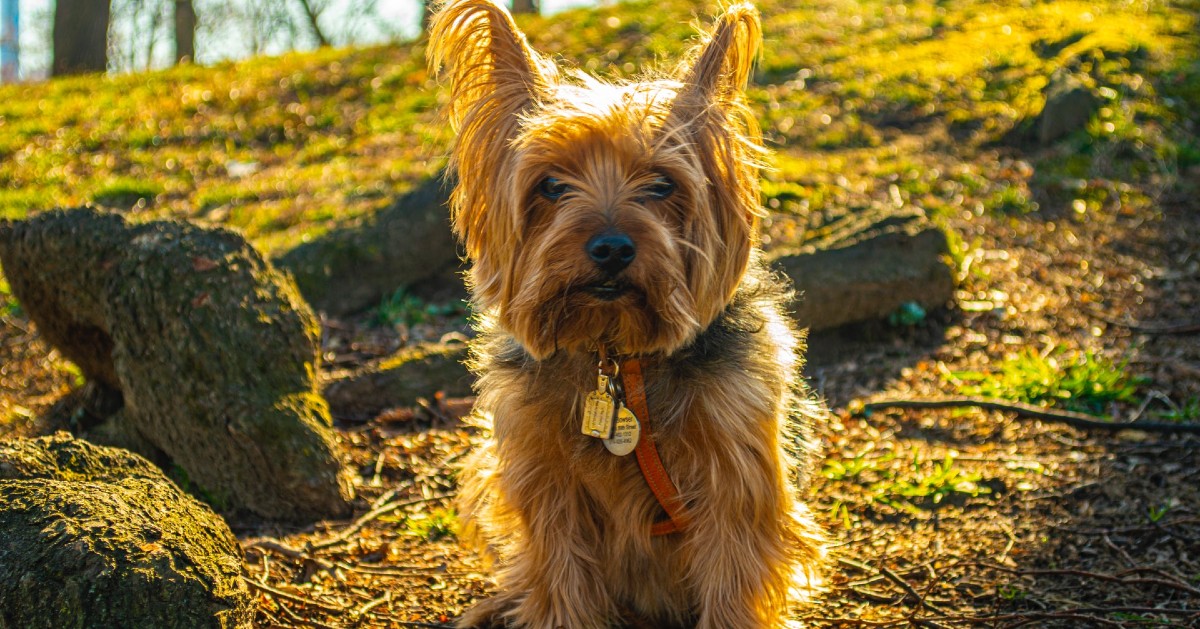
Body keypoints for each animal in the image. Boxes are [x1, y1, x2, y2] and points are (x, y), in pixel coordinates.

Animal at [427, 2, 830, 624]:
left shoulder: (735, 468)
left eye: (661, 185)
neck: (614, 353)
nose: (612, 247)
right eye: (550, 185)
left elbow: (734, 568)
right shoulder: (543, 474)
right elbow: (560, 572)